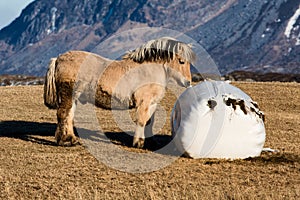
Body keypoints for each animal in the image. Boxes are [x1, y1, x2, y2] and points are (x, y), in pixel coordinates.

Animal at [43, 36, 196, 148]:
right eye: (181, 61)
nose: (188, 82)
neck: (150, 69)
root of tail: (58, 58)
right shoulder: (144, 102)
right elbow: (141, 121)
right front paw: (138, 143)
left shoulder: (152, 104)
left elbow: (148, 122)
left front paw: (150, 142)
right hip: (68, 95)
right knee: (63, 114)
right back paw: (64, 141)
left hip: (73, 97)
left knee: (69, 116)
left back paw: (71, 139)